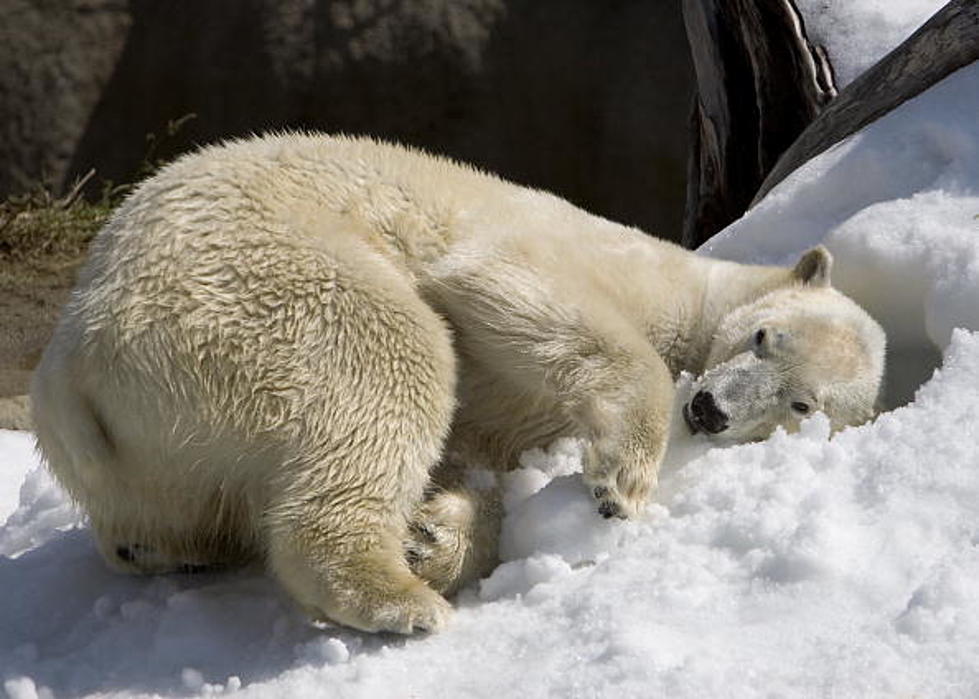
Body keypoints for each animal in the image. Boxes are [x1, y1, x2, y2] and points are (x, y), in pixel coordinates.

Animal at [30, 131, 888, 636]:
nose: (708, 409)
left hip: (159, 453)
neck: (696, 291)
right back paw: (396, 596)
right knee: (391, 354)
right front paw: (619, 482)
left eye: (801, 403)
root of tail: (73, 372)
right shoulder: (583, 258)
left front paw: (435, 533)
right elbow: (512, 295)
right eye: (762, 336)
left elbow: (483, 459)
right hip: (259, 283)